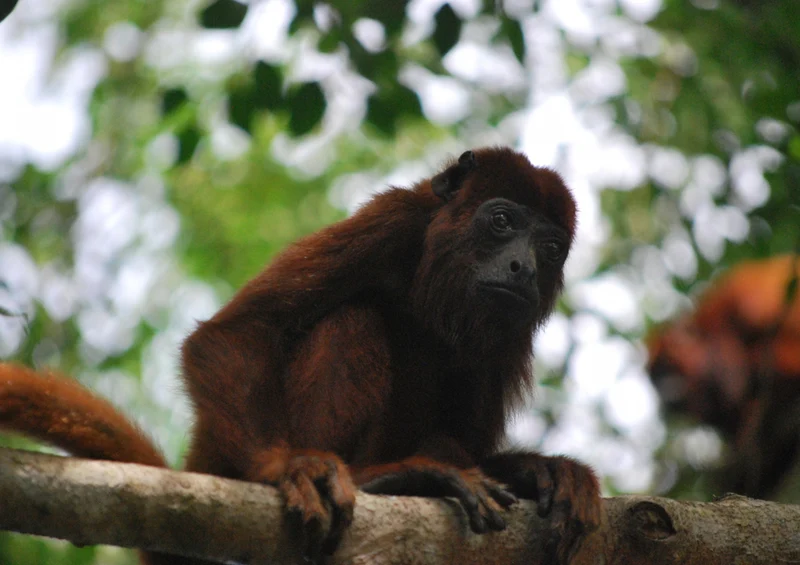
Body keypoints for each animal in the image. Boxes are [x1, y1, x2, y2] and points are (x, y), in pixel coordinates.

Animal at [1, 147, 601, 564]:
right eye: (501, 221)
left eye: (550, 249)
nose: (523, 268)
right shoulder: (392, 222)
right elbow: (240, 330)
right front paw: (284, 467)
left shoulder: (511, 328)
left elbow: (471, 441)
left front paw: (540, 471)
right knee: (353, 320)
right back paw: (385, 479)